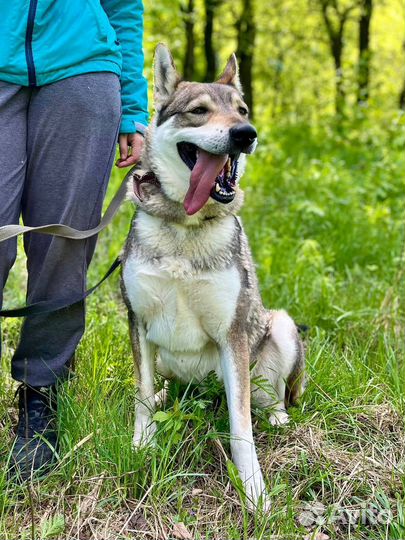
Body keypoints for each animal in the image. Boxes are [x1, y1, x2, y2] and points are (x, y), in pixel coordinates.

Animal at [120, 43, 304, 510]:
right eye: (199, 111)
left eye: (242, 109)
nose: (245, 133)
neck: (185, 226)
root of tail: (204, 392)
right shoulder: (138, 321)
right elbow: (142, 397)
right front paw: (141, 445)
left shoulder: (231, 333)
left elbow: (241, 427)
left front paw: (254, 490)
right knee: (164, 389)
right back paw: (168, 395)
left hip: (279, 327)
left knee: (272, 399)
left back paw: (277, 416)